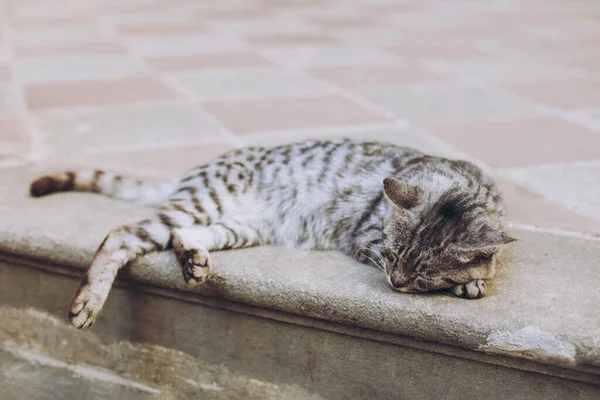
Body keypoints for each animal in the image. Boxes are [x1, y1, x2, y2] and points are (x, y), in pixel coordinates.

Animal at [29, 139, 516, 330]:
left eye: (421, 274)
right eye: (395, 258)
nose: (396, 284)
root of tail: (195, 170)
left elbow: (490, 261)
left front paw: (475, 277)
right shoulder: (367, 241)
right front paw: (472, 281)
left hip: (243, 226)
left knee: (183, 236)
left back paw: (194, 263)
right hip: (204, 201)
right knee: (122, 234)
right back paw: (87, 303)